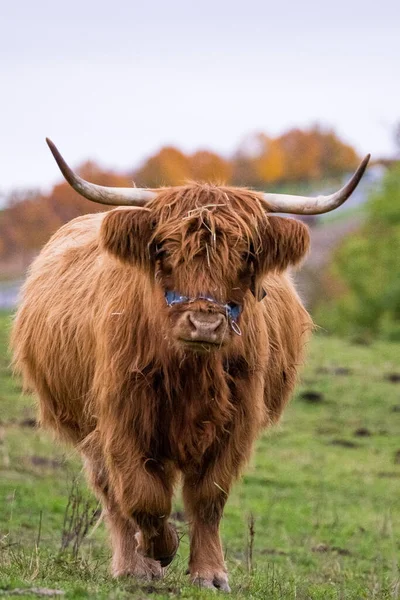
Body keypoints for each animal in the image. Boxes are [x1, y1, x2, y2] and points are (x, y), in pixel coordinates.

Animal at [11, 142, 368, 592]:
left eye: (246, 254)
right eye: (164, 249)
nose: (205, 323)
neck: (190, 373)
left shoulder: (235, 421)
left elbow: (207, 497)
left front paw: (210, 574)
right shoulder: (120, 415)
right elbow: (143, 495)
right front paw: (158, 551)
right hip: (87, 427)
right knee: (112, 493)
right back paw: (132, 564)